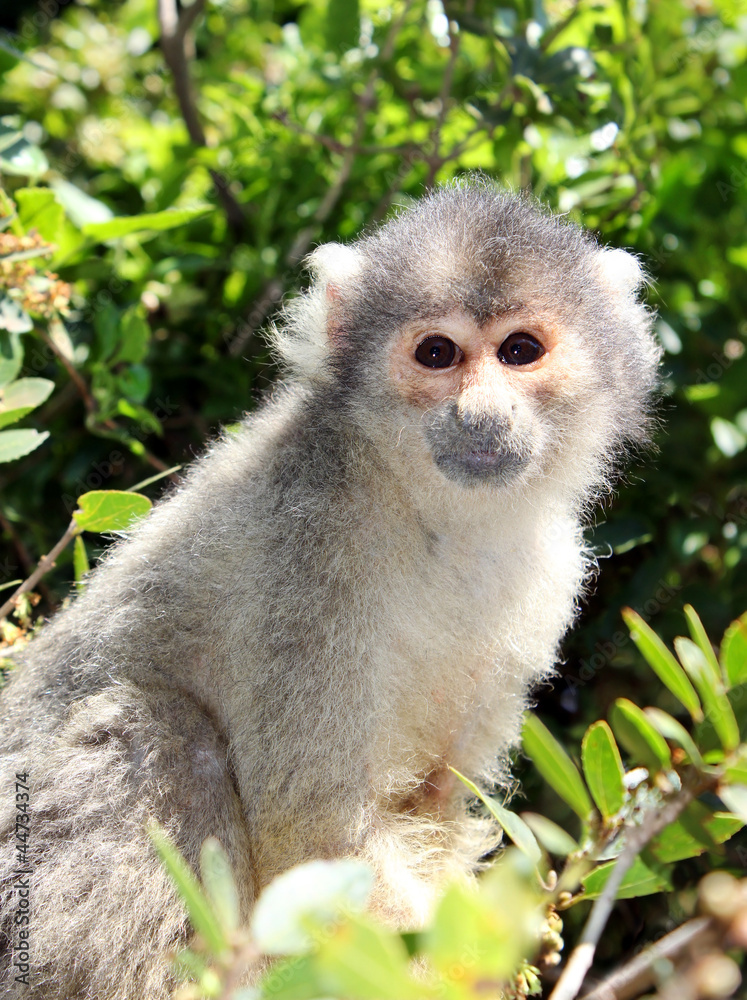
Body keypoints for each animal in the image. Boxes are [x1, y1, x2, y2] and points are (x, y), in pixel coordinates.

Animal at [0, 177, 660, 999]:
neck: (425, 510)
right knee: (159, 729)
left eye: (520, 352)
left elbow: (436, 801)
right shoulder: (308, 545)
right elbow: (313, 832)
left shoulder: (550, 568)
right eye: (437, 354)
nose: (480, 414)